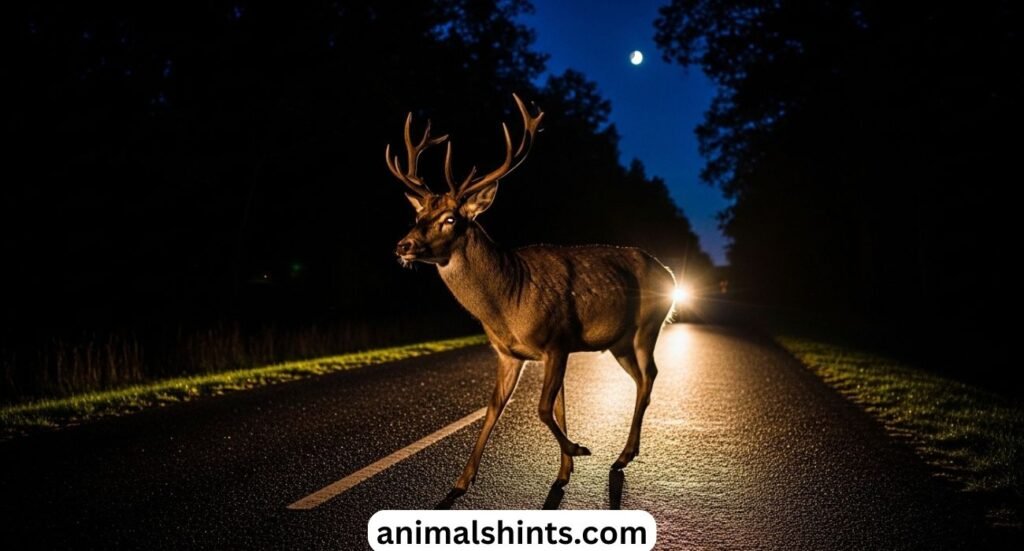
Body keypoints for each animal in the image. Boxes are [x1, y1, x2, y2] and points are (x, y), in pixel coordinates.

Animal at [386, 94, 676, 493]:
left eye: (450, 219)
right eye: (417, 216)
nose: (403, 245)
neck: (508, 304)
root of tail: (671, 275)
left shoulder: (557, 340)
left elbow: (541, 407)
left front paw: (578, 450)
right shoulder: (510, 353)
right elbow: (501, 407)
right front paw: (464, 479)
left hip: (648, 325)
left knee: (650, 375)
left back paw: (623, 455)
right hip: (619, 341)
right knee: (639, 378)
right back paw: (621, 454)